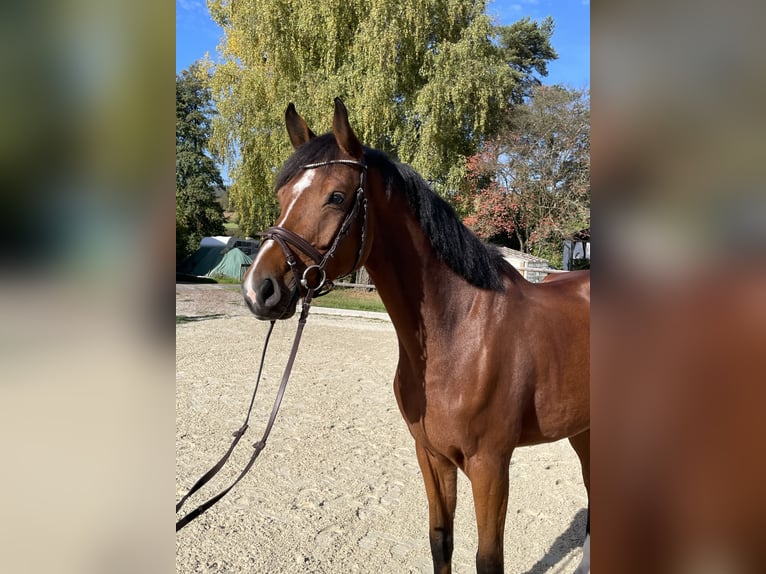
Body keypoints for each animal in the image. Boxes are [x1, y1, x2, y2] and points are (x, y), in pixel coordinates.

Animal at [242, 98, 590, 574]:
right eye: (282, 197)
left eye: (336, 197)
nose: (258, 289)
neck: (459, 334)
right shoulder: (431, 455)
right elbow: (440, 541)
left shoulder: (490, 466)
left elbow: (488, 559)